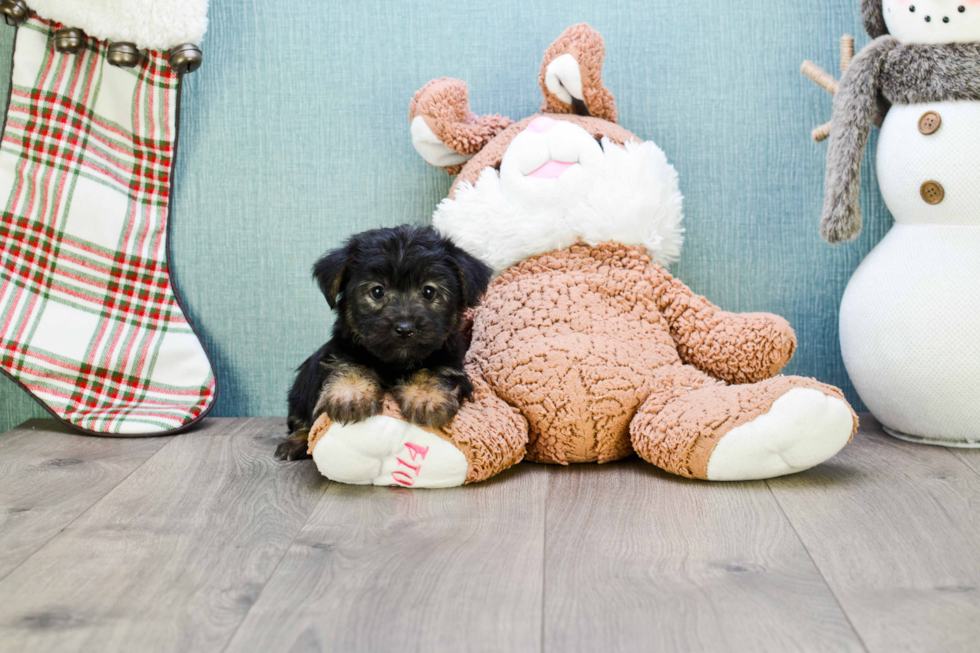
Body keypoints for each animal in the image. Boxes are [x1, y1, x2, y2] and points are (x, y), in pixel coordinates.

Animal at [274, 227, 490, 460]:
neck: (394, 363)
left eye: (429, 291)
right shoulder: (341, 351)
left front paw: (426, 395)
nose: (404, 329)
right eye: (377, 291)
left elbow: (434, 370)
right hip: (300, 391)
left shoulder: (450, 363)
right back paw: (296, 442)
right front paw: (351, 393)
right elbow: (350, 364)